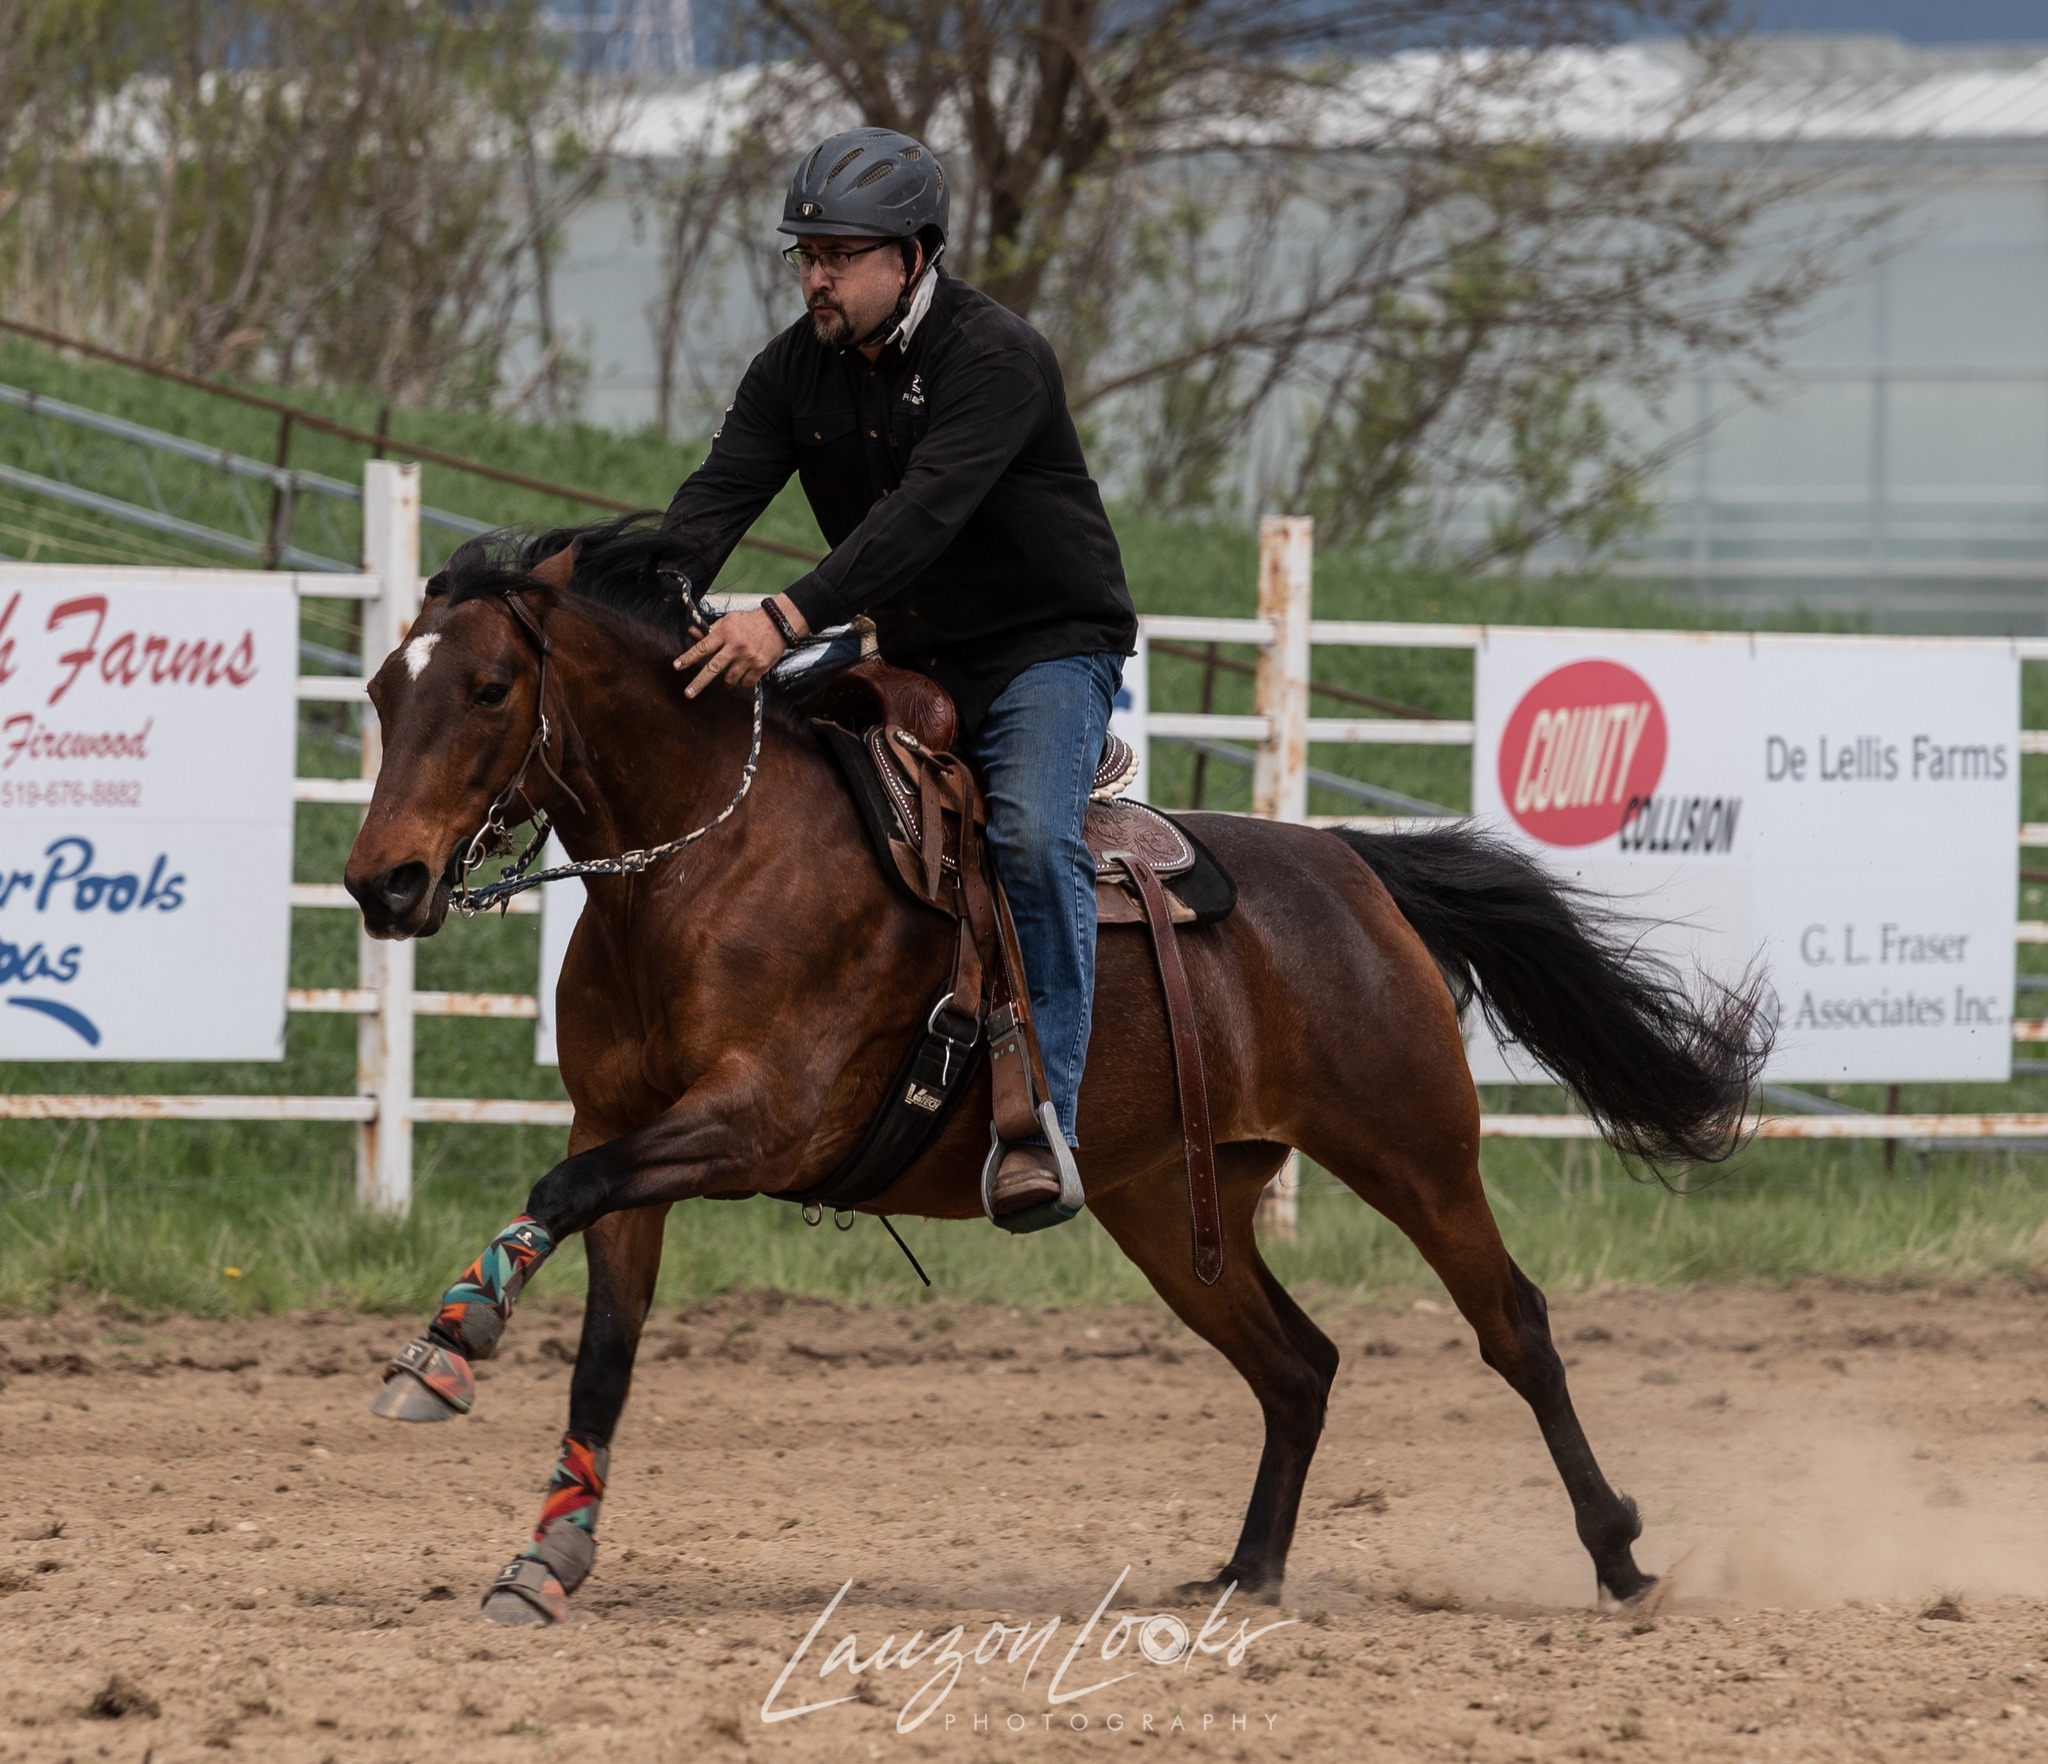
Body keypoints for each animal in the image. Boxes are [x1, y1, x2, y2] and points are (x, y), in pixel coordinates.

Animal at [344, 515, 1769, 1627]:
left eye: (488, 688)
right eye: (376, 693)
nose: (381, 883)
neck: (707, 864)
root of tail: (1350, 864)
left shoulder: (759, 1124)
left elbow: (554, 1191)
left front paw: (447, 1342)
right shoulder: (627, 1128)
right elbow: (606, 1338)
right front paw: (545, 1549)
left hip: (1412, 1148)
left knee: (1510, 1325)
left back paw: (1620, 1560)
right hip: (1167, 1207)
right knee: (1297, 1365)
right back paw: (1245, 1575)